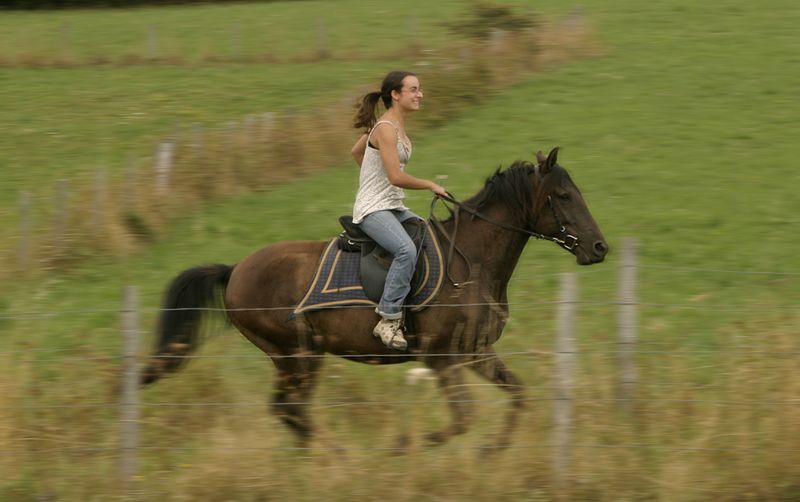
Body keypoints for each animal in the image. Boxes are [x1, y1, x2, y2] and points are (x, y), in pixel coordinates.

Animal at [141, 147, 608, 449]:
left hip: (296, 359)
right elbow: (462, 418)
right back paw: (336, 455)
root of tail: (235, 270)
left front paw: (492, 449)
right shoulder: (442, 359)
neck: (469, 263)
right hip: (297, 355)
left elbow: (518, 396)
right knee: (289, 409)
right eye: (563, 196)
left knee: (288, 411)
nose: (600, 248)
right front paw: (404, 445)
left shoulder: (476, 353)